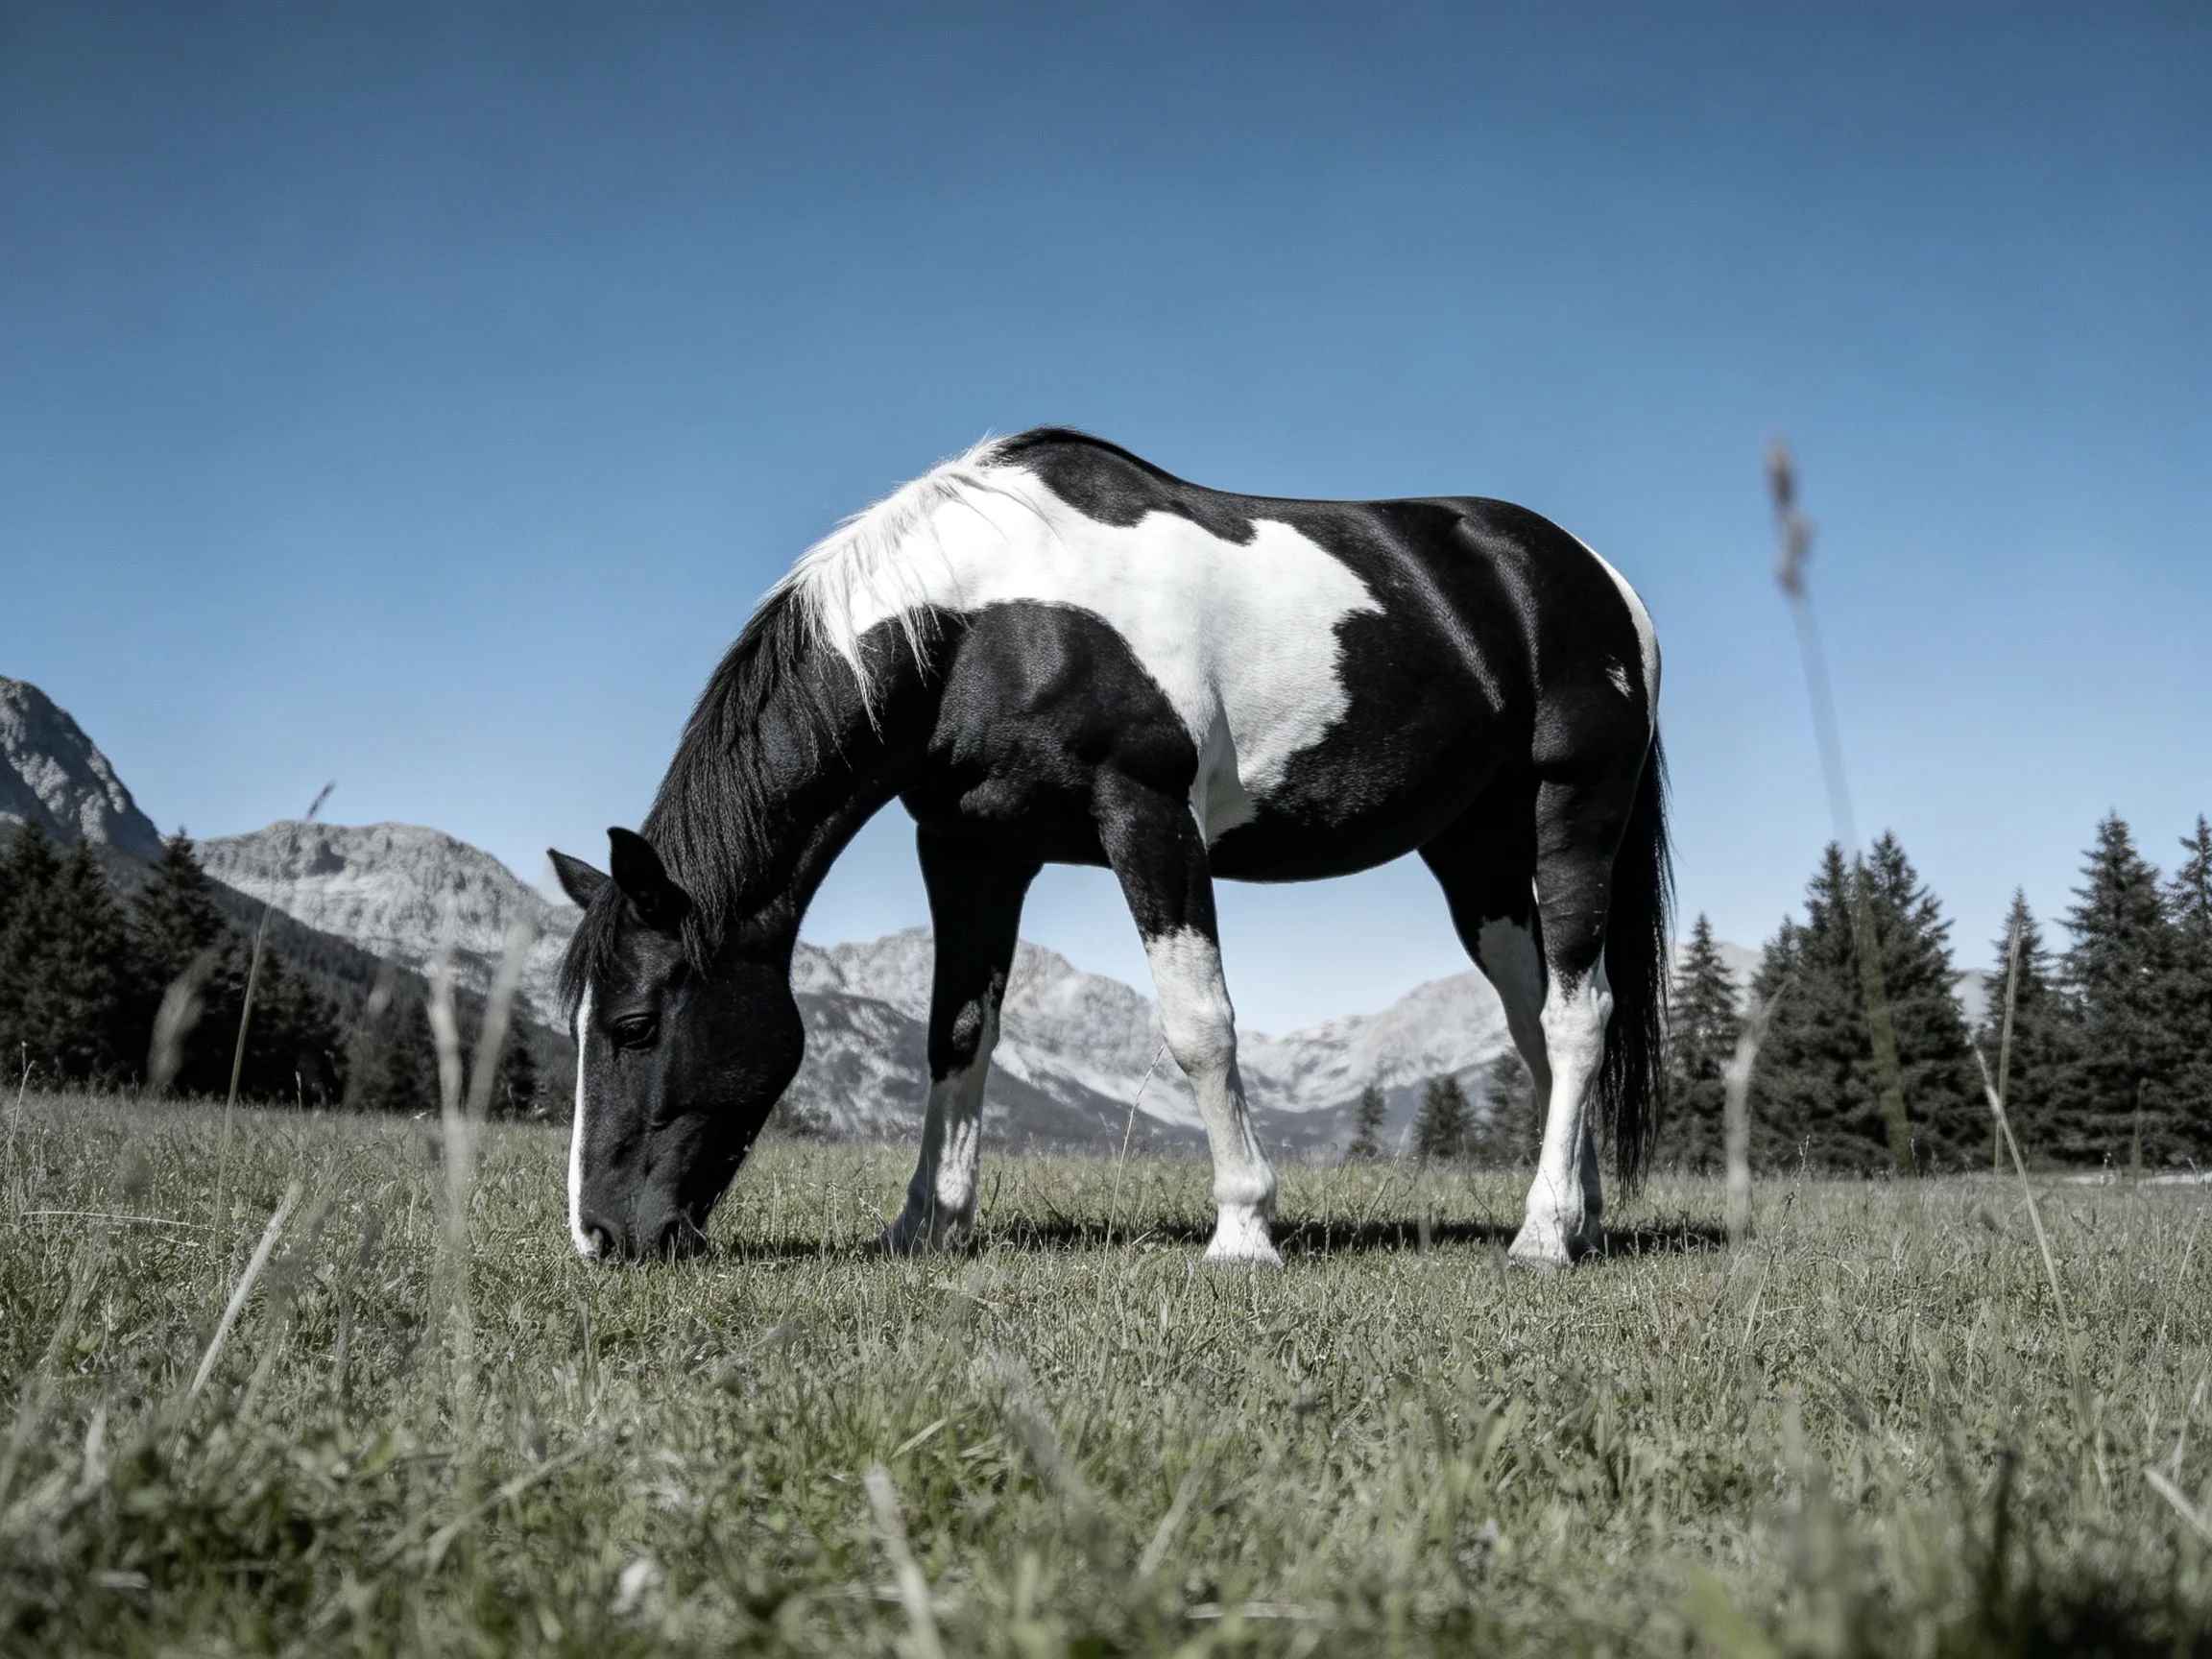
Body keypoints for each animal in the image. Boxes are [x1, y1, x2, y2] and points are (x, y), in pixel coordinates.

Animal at [550, 428, 1669, 1269]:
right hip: (1475, 854)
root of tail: (1595, 579)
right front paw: (924, 1224)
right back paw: (1579, 1216)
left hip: (1574, 810)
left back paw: (1540, 1238)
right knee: (1536, 1020)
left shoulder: (1148, 818)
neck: (986, 619)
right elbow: (956, 1031)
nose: (599, 1237)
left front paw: (1243, 1229)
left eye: (637, 1025)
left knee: (1579, 1015)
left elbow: (1199, 1026)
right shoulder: (969, 849)